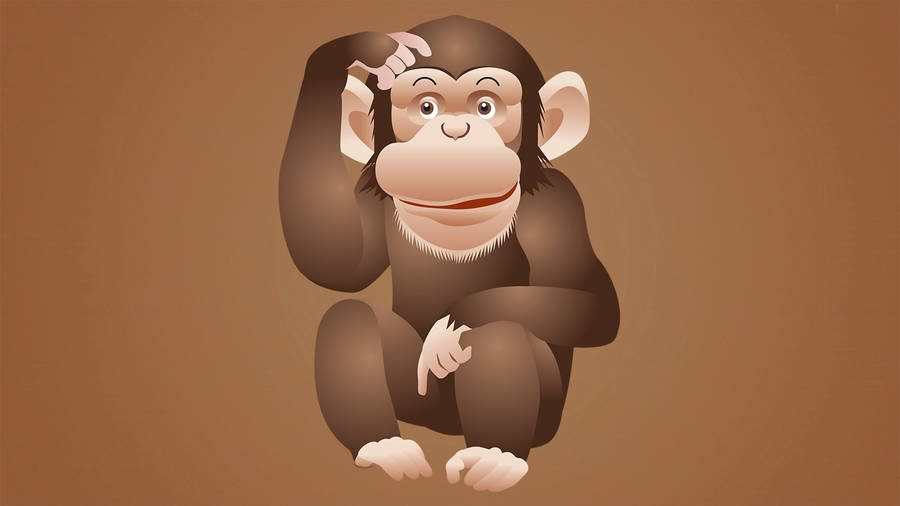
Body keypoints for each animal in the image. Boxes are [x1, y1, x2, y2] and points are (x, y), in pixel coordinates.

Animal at [279, 15, 619, 492]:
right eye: (426, 107)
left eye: (485, 107)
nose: (454, 131)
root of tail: (444, 430)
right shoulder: (369, 194)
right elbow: (337, 259)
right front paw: (365, 49)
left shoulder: (561, 202)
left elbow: (591, 300)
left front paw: (452, 324)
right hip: (417, 399)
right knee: (349, 316)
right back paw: (384, 447)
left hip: (547, 415)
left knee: (499, 330)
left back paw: (495, 458)